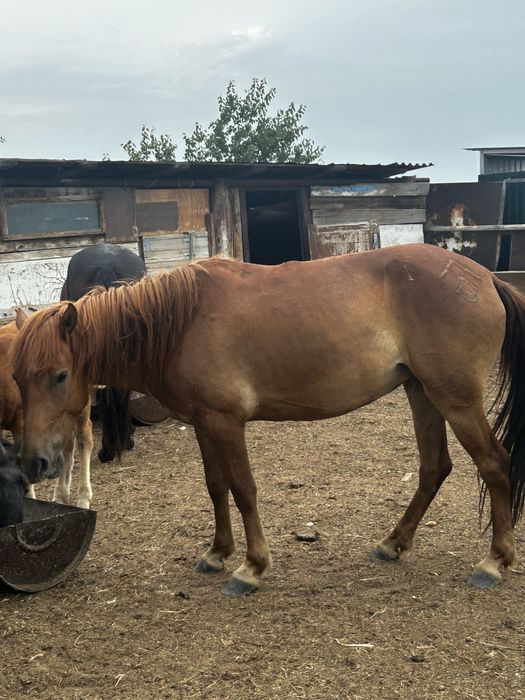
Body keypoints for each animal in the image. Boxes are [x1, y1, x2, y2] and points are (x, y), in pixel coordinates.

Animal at [1, 312, 94, 508]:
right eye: (15, 377)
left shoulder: (21, 424)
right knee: (66, 446)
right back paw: (61, 493)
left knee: (84, 439)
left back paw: (83, 497)